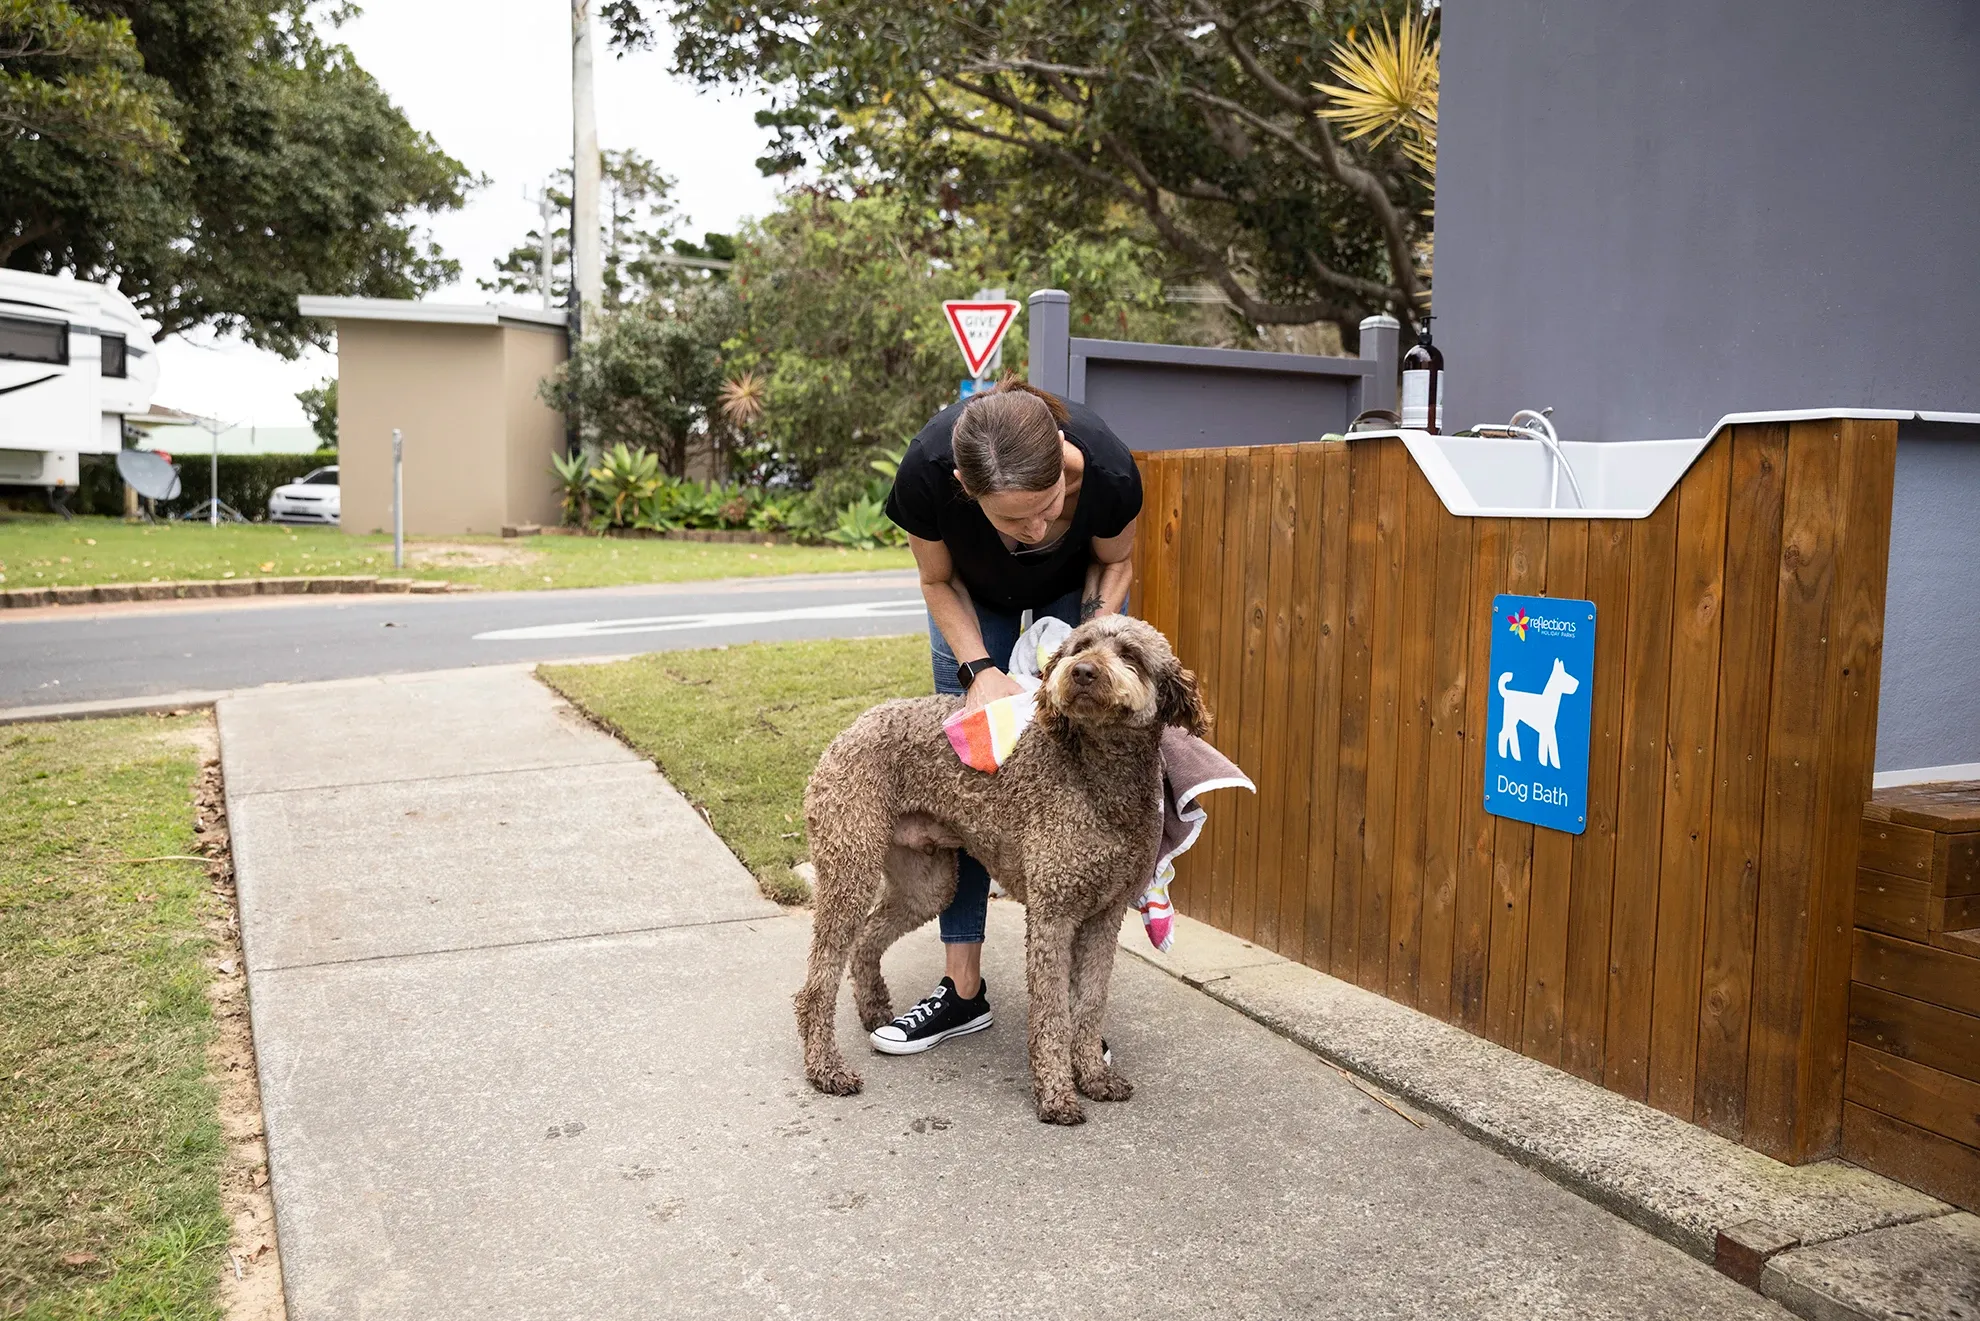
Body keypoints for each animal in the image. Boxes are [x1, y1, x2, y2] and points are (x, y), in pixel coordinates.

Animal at [792, 617, 1203, 1124]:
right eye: (1080, 646)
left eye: (1130, 655)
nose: (1082, 671)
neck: (1102, 778)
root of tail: (851, 727)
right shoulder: (1053, 916)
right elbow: (1052, 1015)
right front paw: (1056, 1094)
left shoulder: (1104, 918)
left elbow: (1089, 1005)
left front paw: (1094, 1076)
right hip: (851, 865)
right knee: (817, 984)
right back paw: (825, 1068)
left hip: (926, 883)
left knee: (868, 938)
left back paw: (876, 1012)